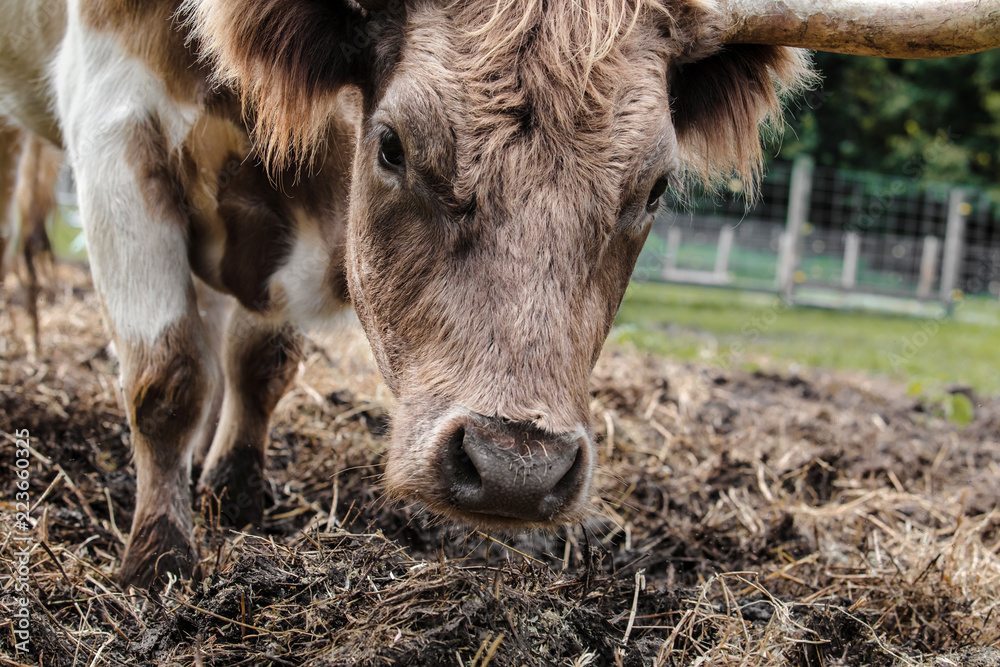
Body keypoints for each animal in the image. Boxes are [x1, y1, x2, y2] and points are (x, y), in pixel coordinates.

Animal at [0, 0, 996, 587]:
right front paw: (158, 564)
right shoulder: (117, 128)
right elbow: (168, 380)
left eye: (656, 188)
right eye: (394, 145)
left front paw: (236, 490)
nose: (517, 466)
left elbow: (260, 358)